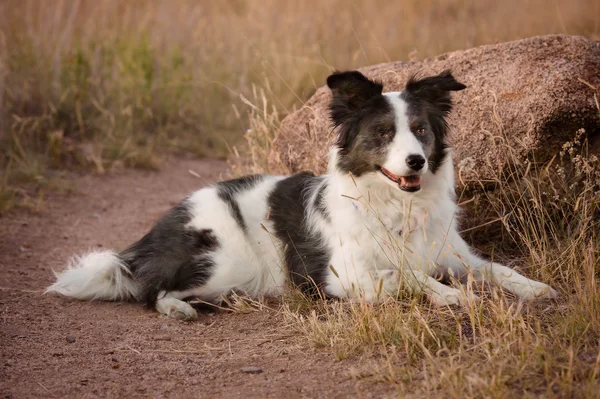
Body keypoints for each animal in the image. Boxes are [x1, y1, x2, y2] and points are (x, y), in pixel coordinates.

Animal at [47, 70, 556, 322]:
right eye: (383, 133)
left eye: (421, 130)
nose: (415, 162)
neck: (398, 205)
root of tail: (151, 236)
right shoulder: (341, 274)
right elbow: (404, 275)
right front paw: (452, 297)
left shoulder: (453, 254)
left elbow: (498, 269)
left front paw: (535, 288)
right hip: (223, 259)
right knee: (149, 290)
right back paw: (178, 308)